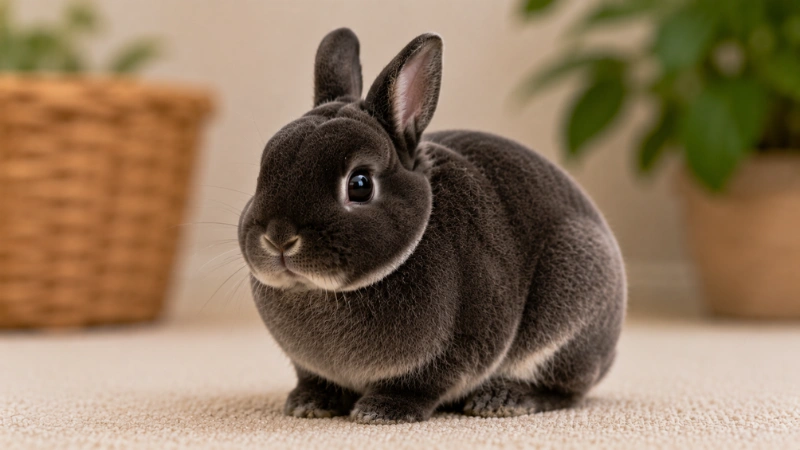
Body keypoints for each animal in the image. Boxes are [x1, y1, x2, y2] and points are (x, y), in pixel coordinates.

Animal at [238, 28, 626, 424]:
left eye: (360, 184)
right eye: (264, 170)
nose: (278, 238)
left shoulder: (455, 350)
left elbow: (419, 385)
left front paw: (381, 411)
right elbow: (315, 380)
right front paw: (308, 403)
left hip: (573, 290)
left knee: (564, 390)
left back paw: (503, 399)